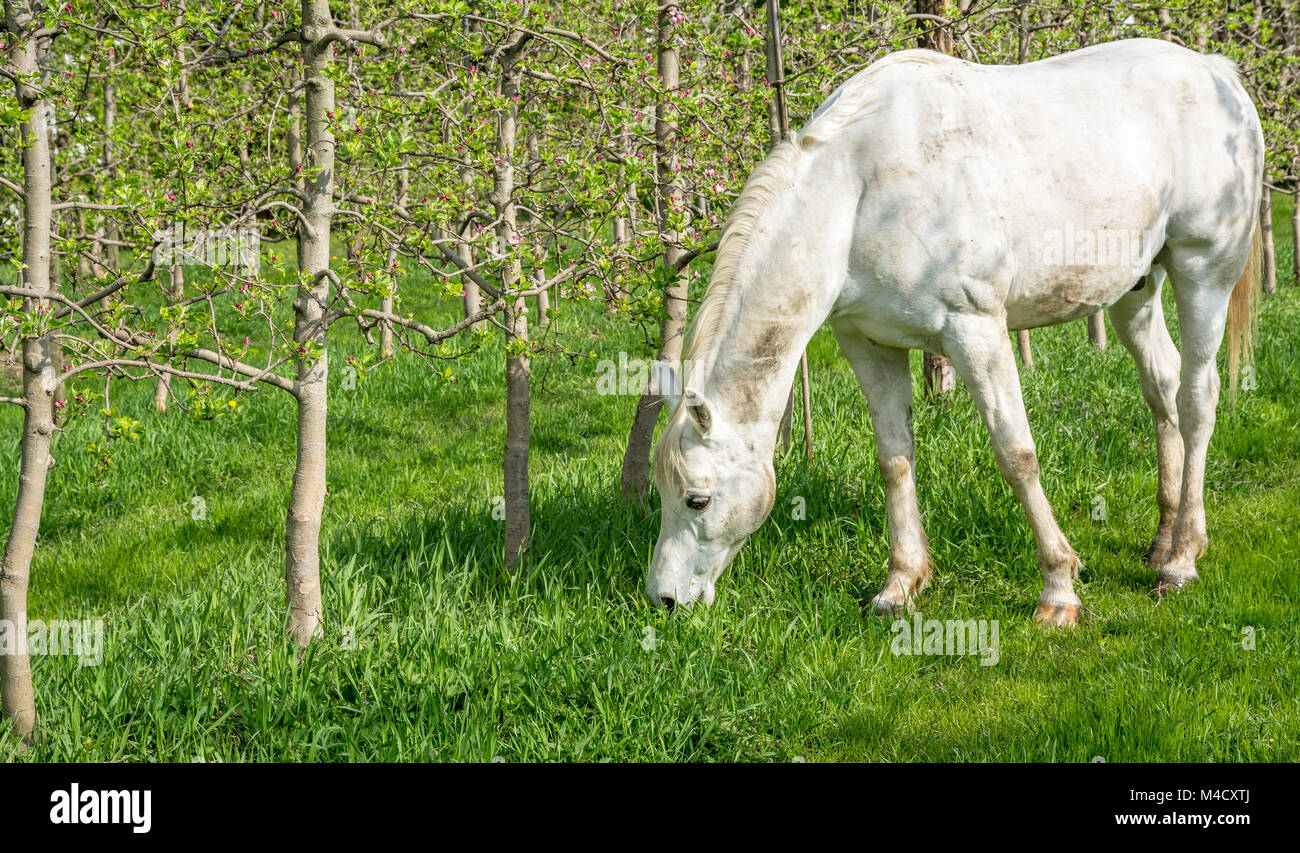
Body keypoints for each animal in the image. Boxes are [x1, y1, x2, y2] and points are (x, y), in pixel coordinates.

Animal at [644, 36, 1263, 624]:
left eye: (697, 499)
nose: (663, 600)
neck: (860, 194)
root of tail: (1217, 73)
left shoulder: (976, 333)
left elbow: (1017, 453)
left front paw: (1059, 589)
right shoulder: (869, 343)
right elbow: (894, 459)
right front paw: (899, 586)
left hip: (1203, 273)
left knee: (1197, 397)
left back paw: (1182, 560)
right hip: (1135, 289)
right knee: (1162, 388)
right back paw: (1162, 542)